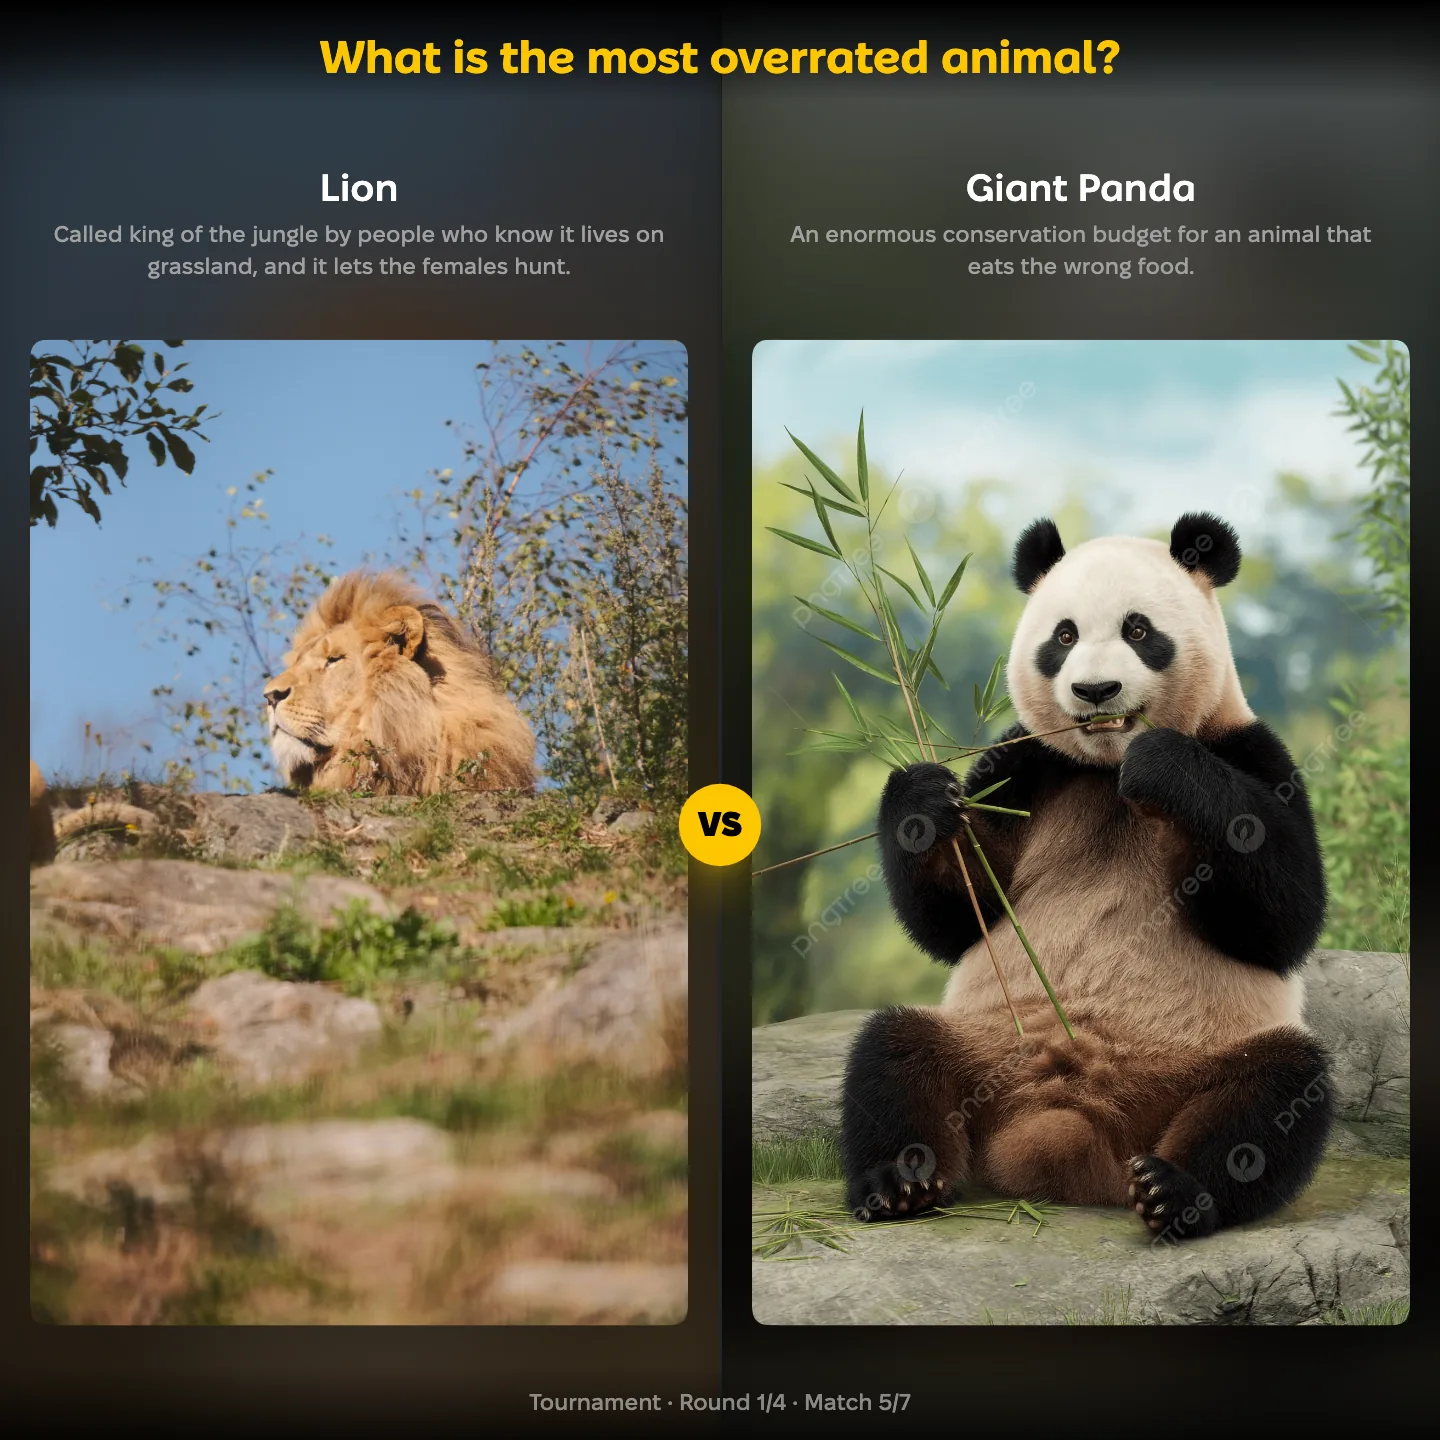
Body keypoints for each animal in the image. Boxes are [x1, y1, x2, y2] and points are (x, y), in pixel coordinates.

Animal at [842, 512, 1332, 1241]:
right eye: (1064, 636)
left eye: (1139, 631)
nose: (1096, 692)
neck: (1106, 768)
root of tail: (1064, 1127)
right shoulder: (1028, 769)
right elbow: (959, 918)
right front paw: (925, 796)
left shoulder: (1248, 751)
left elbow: (1282, 920)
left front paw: (1164, 766)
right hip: (985, 1048)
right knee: (894, 1052)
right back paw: (896, 1182)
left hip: (1189, 1066)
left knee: (1278, 1091)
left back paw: (1173, 1191)